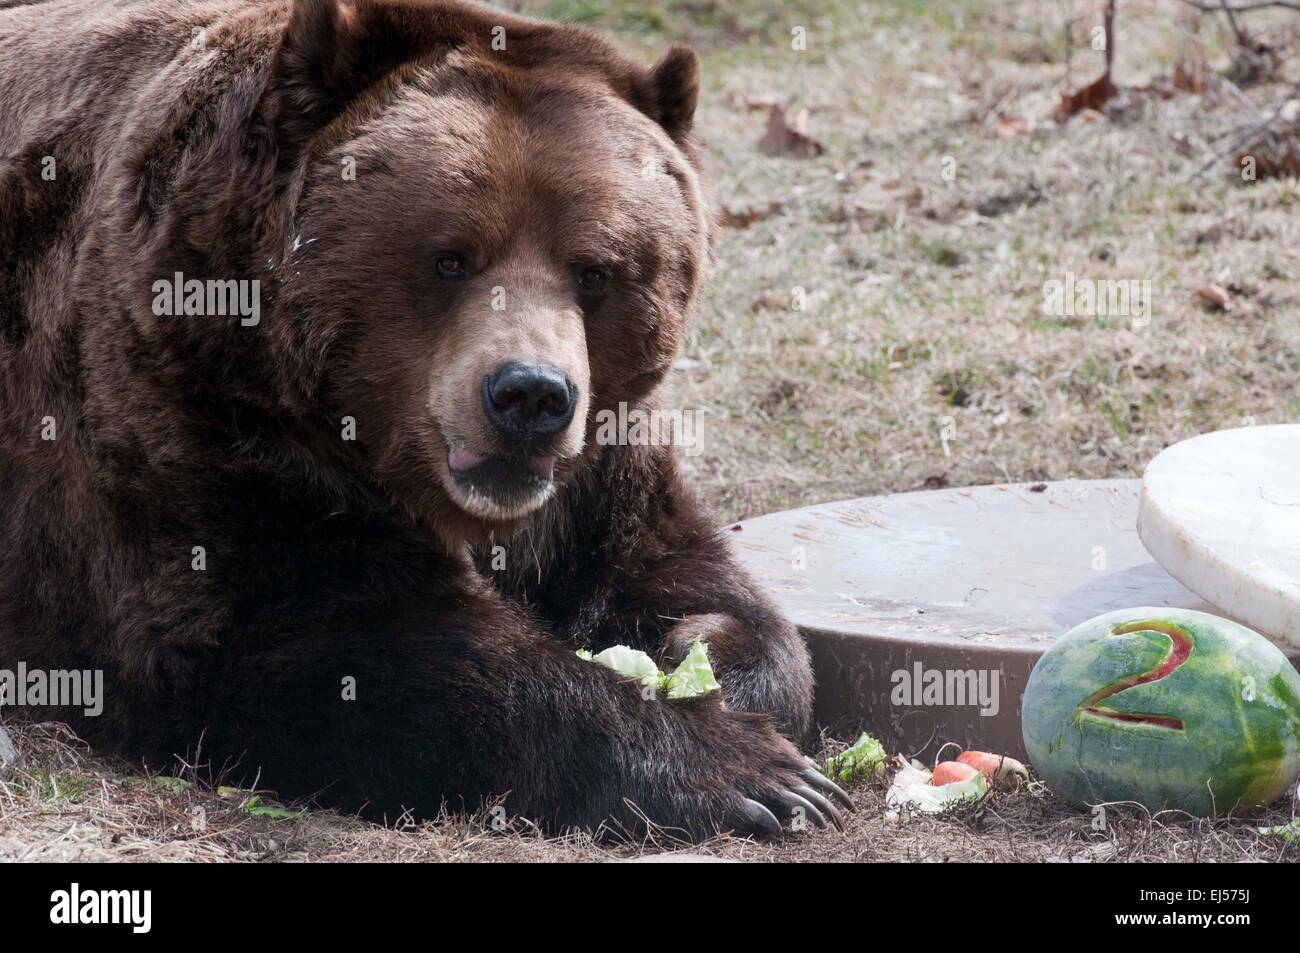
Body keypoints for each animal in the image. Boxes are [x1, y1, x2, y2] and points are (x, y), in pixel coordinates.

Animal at [2, 0, 852, 832]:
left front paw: (698, 660)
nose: (530, 396)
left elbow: (700, 582)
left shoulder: (604, 464)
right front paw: (752, 773)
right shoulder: (189, 408)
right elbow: (303, 644)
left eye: (596, 270)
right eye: (449, 258)